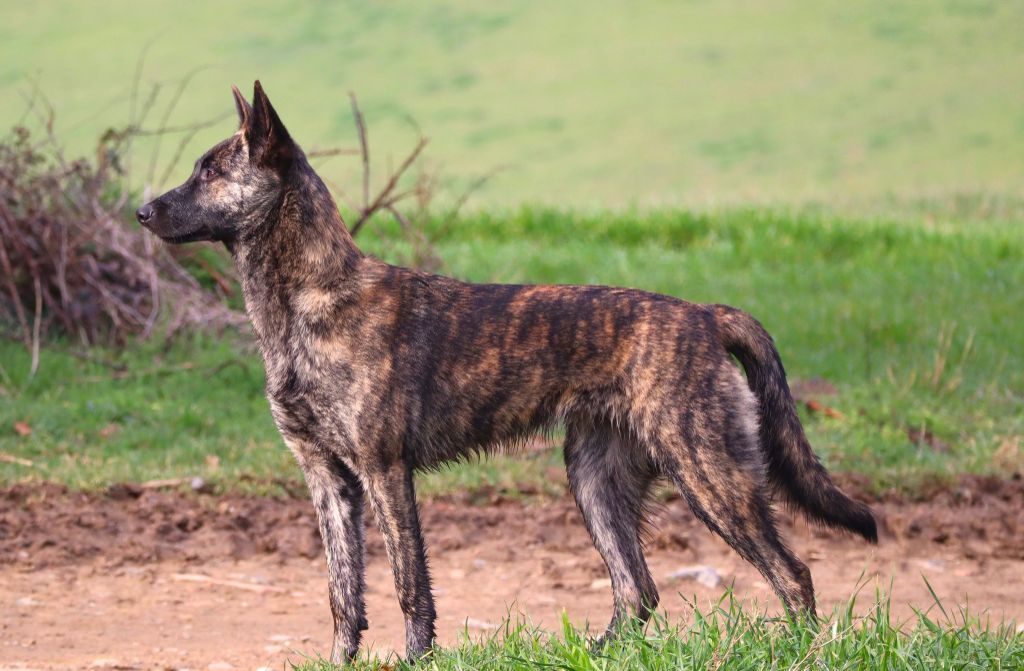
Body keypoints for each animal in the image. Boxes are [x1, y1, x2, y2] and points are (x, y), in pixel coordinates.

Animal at [134, 81, 872, 663]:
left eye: (210, 172)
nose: (141, 211)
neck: (311, 299)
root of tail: (705, 315)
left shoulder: (384, 472)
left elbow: (409, 586)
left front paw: (416, 659)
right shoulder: (328, 481)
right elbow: (343, 595)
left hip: (709, 475)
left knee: (792, 573)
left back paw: (799, 651)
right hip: (594, 479)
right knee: (637, 591)